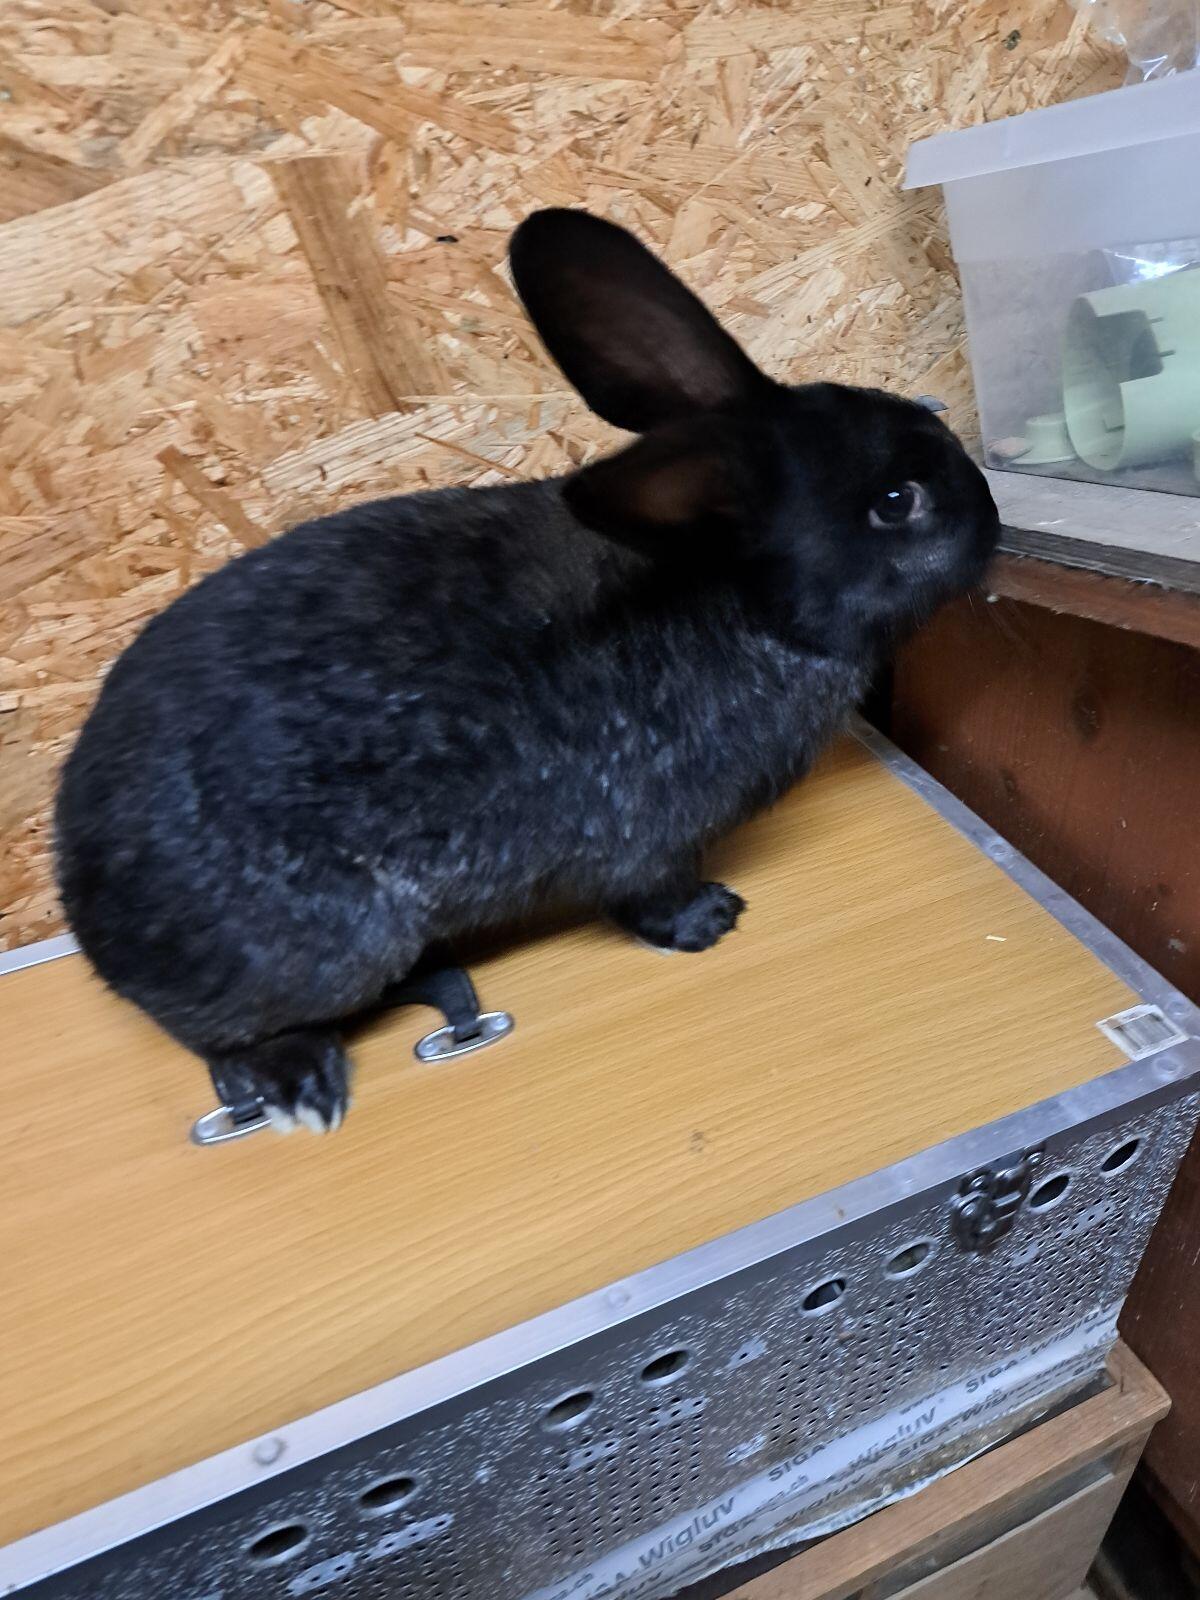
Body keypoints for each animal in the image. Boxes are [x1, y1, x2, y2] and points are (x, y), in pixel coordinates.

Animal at [55, 208, 999, 1134]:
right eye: (896, 504)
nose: (991, 520)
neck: (743, 601)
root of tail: (86, 900)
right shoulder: (645, 837)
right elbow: (648, 896)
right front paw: (711, 920)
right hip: (320, 949)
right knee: (221, 1040)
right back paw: (303, 1083)